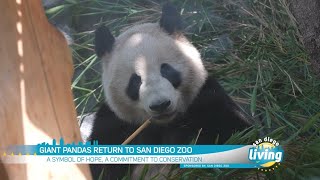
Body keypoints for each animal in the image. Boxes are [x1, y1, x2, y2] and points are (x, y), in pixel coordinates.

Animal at [84, 3, 250, 180]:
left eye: (166, 70)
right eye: (135, 81)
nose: (160, 105)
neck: (164, 125)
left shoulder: (209, 98)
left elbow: (236, 134)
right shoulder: (113, 125)